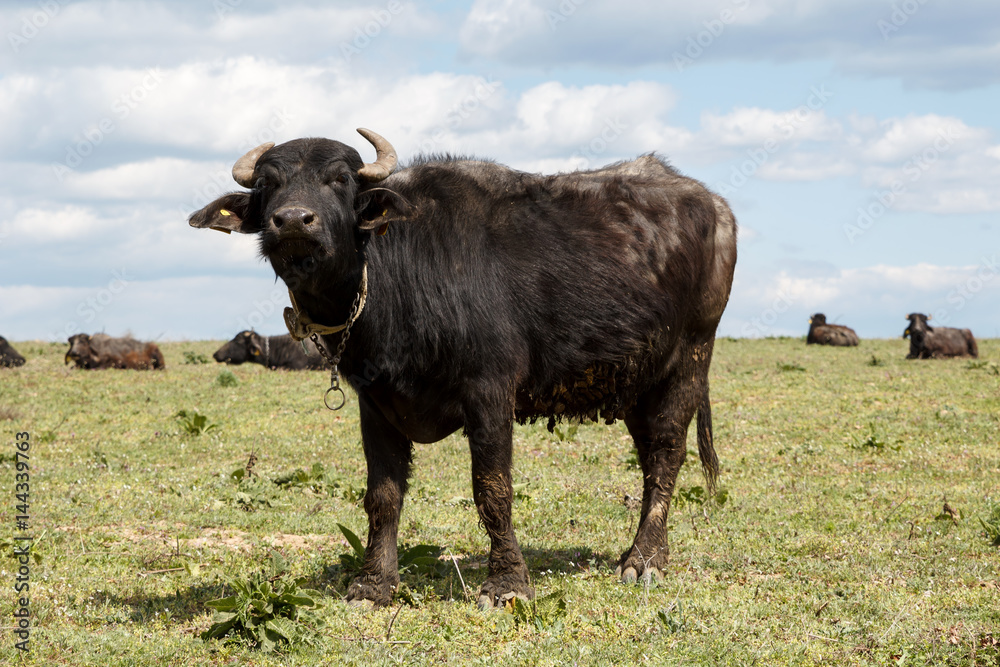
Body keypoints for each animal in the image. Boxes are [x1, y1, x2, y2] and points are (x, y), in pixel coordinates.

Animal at [189, 129, 737, 608]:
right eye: (267, 184)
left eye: (340, 179)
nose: (292, 221)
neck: (394, 278)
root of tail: (715, 207)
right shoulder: (376, 404)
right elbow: (382, 496)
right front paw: (373, 585)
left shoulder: (490, 392)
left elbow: (492, 490)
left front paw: (507, 585)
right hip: (636, 381)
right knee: (648, 459)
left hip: (689, 359)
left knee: (667, 455)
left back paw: (644, 560)